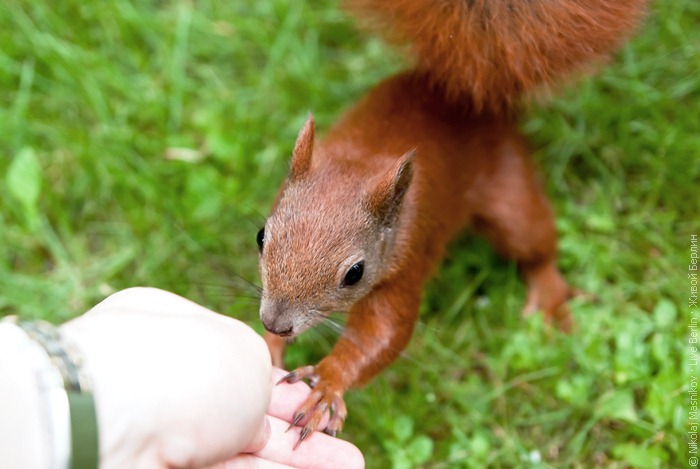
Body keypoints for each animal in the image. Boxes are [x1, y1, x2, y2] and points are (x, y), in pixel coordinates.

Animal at [256, 0, 648, 445]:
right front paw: (268, 346)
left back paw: (548, 295)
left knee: (534, 244)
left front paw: (327, 384)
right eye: (261, 236)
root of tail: (467, 96)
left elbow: (384, 334)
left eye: (355, 274)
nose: (276, 323)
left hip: (511, 199)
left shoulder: (407, 261)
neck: (360, 162)